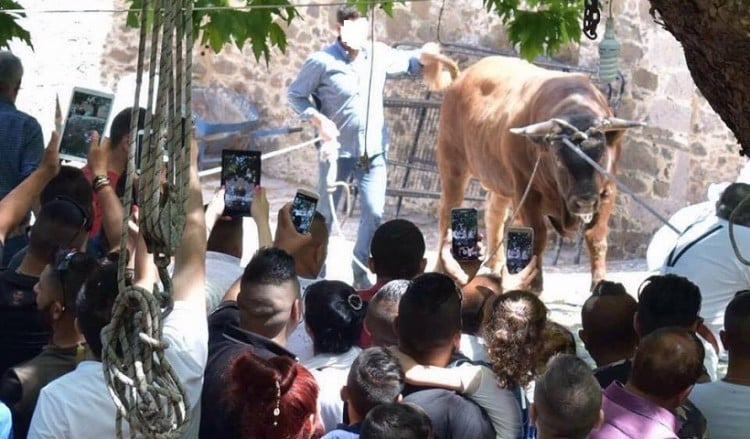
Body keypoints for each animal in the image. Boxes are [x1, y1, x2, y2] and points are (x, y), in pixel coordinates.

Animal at [426, 55, 644, 290]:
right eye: (558, 158)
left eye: (602, 155)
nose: (584, 200)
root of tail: (462, 78)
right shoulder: (525, 190)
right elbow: (538, 235)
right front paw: (533, 284)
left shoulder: (606, 193)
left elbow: (596, 238)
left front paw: (599, 282)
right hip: (453, 162)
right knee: (448, 211)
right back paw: (444, 267)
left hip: (501, 181)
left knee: (494, 212)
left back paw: (495, 269)